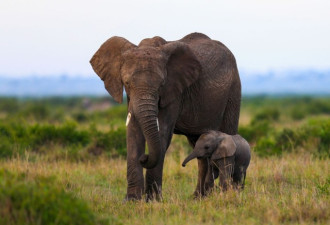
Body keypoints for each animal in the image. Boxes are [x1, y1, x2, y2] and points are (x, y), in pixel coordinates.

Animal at [89, 32, 240, 201]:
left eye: (161, 85)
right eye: (126, 83)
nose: (144, 157)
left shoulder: (174, 92)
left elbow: (163, 132)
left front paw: (153, 200)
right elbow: (133, 132)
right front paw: (132, 200)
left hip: (233, 91)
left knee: (227, 136)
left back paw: (222, 194)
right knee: (200, 148)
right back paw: (199, 197)